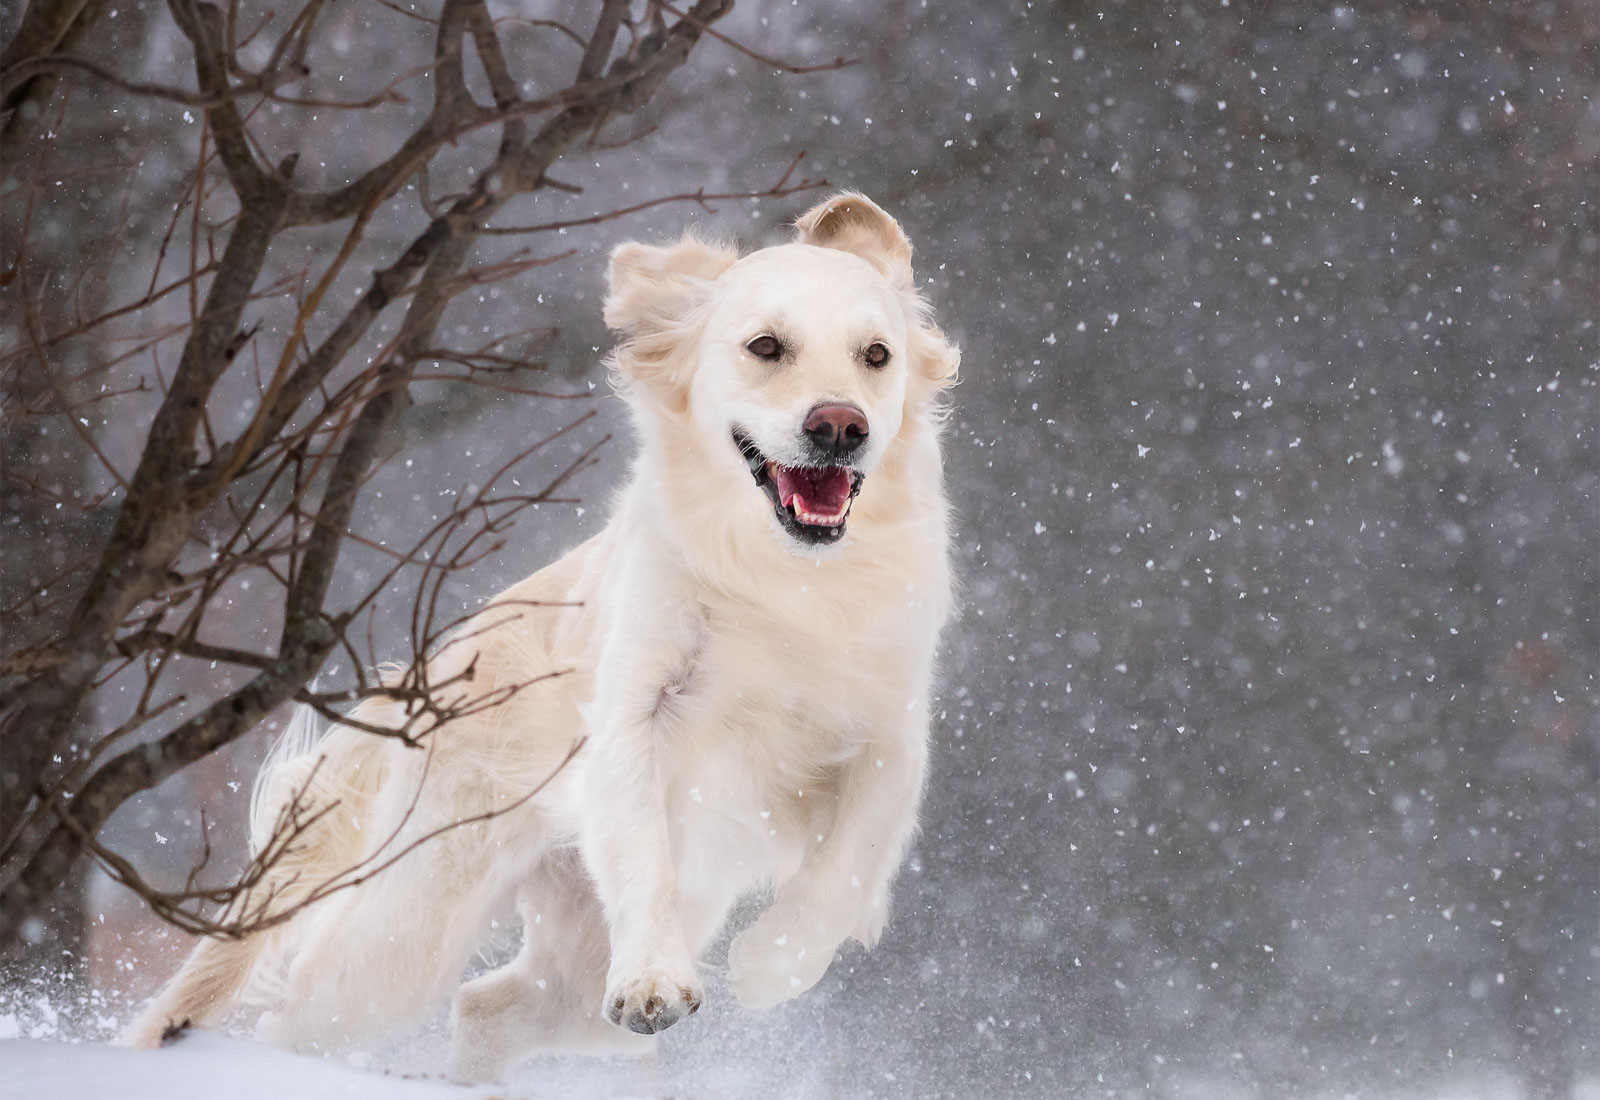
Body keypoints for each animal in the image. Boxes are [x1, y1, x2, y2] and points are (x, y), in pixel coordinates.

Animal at [121, 193, 960, 1080]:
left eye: (877, 355)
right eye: (766, 345)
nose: (840, 425)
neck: (788, 581)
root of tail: (428, 670)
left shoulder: (891, 732)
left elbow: (850, 864)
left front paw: (769, 966)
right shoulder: (636, 717)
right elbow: (642, 853)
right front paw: (656, 982)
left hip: (572, 966)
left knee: (487, 1006)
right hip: (406, 929)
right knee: (301, 1017)